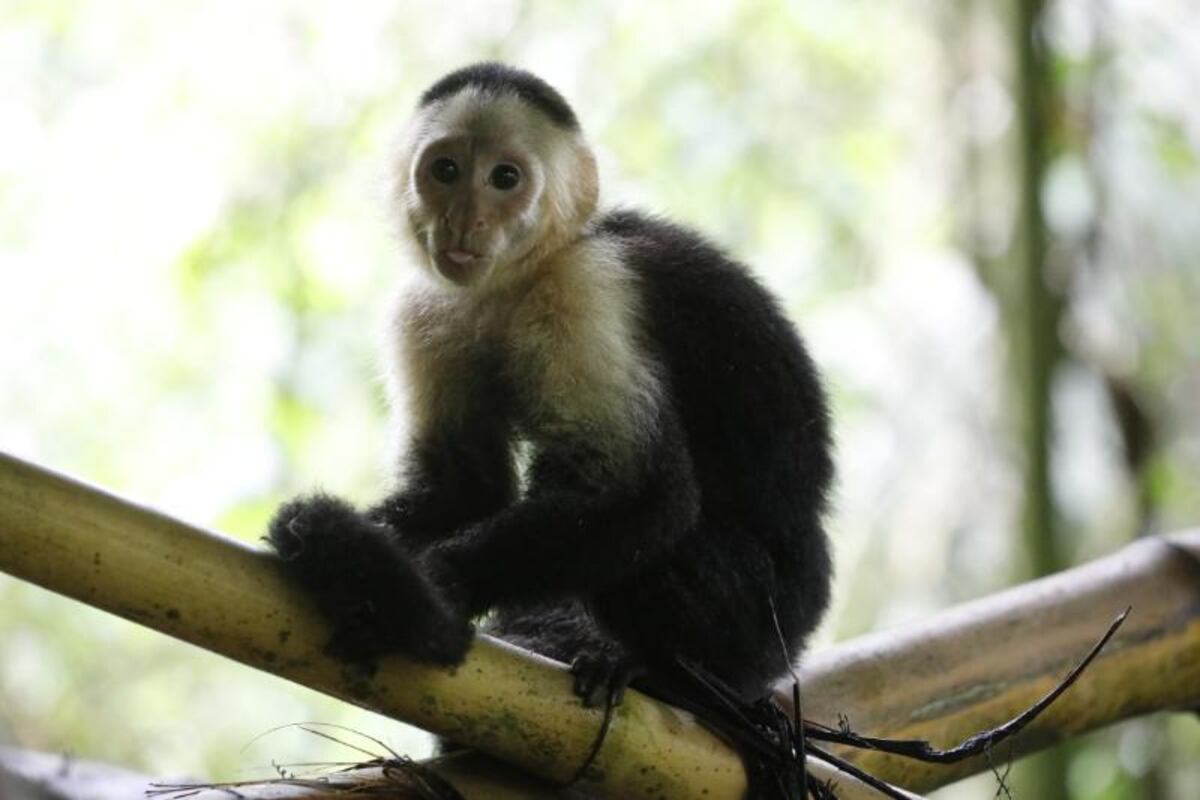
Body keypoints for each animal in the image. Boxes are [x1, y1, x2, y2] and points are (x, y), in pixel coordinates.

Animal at [270, 62, 835, 796]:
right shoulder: (425, 309)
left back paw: (669, 678)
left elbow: (642, 493)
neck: (520, 277)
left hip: (769, 619)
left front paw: (425, 588)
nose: (466, 219)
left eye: (505, 179)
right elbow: (464, 490)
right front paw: (338, 544)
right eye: (445, 170)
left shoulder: (586, 289)